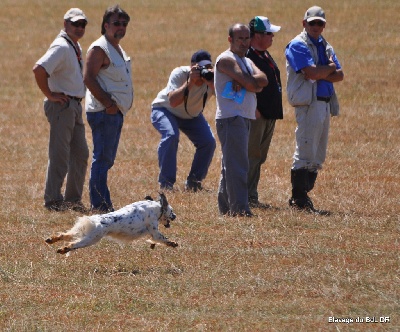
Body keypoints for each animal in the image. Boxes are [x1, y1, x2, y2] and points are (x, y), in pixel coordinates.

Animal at [45, 192, 178, 254]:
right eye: (171, 211)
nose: (175, 216)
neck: (155, 207)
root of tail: (94, 220)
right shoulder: (154, 230)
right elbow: (163, 239)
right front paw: (173, 243)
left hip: (82, 232)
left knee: (65, 235)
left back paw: (51, 240)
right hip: (91, 239)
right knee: (72, 244)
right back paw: (63, 249)